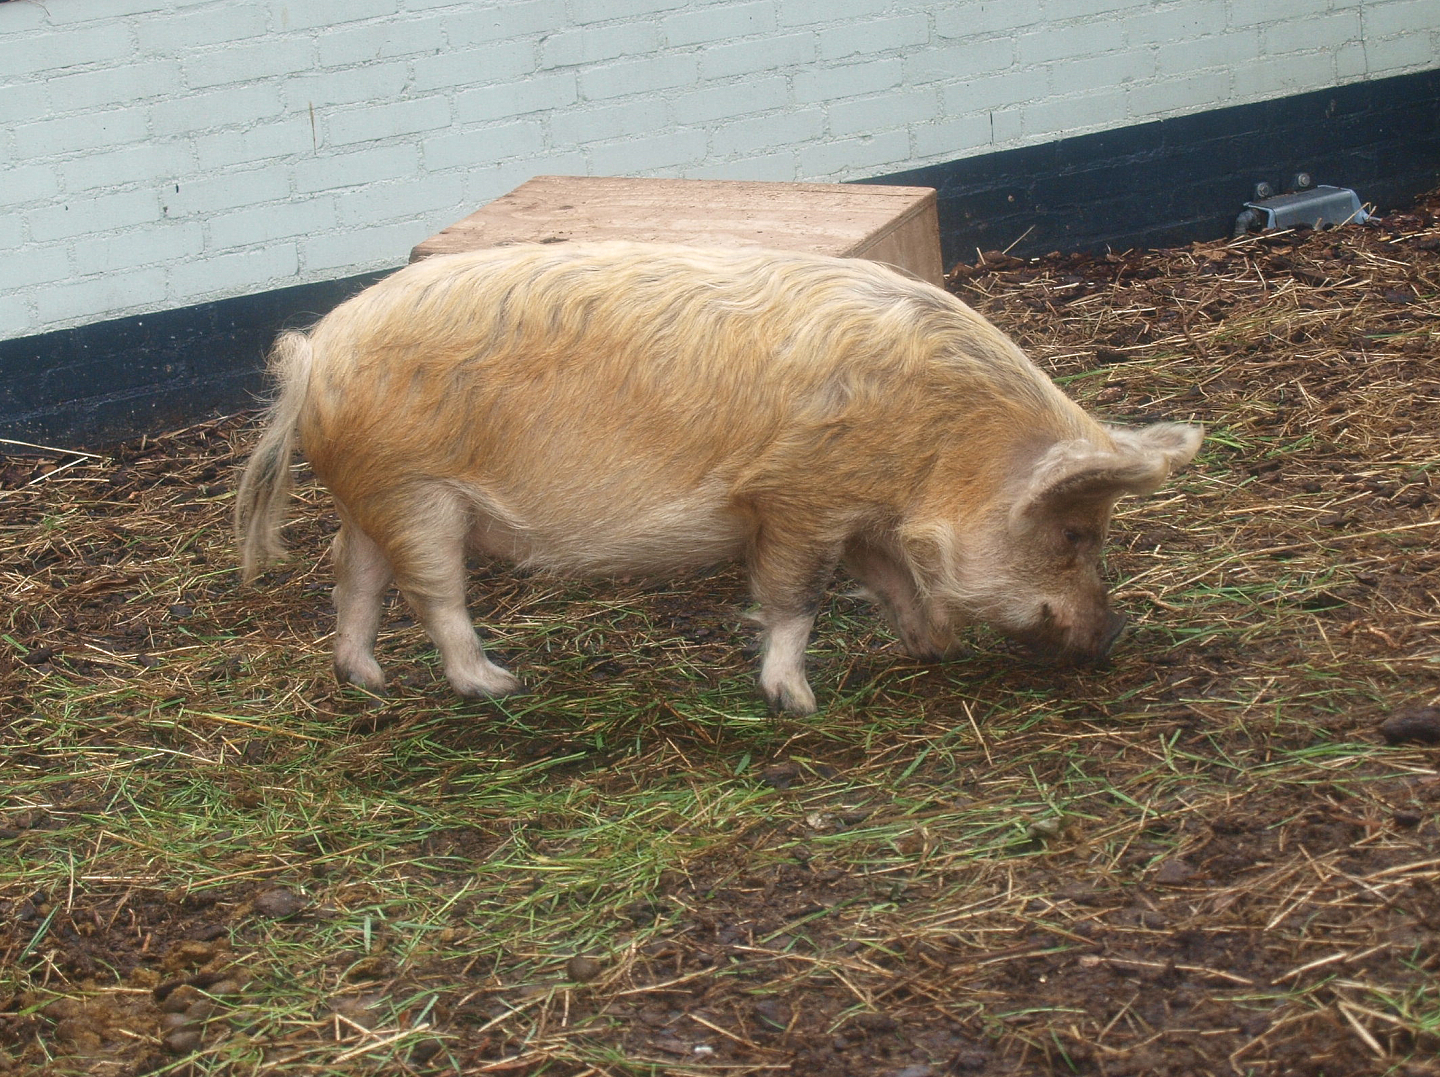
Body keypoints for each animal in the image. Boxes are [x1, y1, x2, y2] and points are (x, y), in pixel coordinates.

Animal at [235, 241, 1202, 715]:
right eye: (1075, 533)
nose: (1113, 635)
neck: (939, 444)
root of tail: (312, 356)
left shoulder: (855, 509)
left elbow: (890, 580)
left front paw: (934, 647)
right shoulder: (797, 497)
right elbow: (796, 598)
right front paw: (797, 702)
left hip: (372, 497)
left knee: (352, 576)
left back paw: (366, 681)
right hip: (417, 491)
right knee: (432, 595)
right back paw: (498, 686)